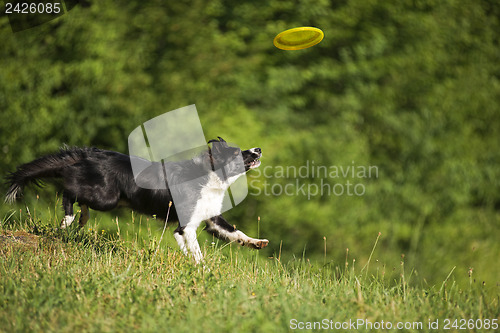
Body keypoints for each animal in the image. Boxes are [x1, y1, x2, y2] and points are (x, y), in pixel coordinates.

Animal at [4, 137, 270, 262]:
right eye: (236, 153)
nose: (258, 149)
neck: (210, 176)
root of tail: (88, 154)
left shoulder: (211, 220)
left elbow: (236, 233)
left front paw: (258, 242)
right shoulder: (186, 226)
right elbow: (196, 252)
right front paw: (203, 270)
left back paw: (81, 219)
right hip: (106, 197)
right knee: (69, 189)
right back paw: (68, 219)